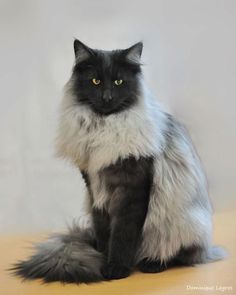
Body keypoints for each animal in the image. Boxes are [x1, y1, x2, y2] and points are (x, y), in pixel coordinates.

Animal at [12, 40, 227, 284]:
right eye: (95, 81)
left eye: (118, 81)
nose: (107, 97)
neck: (102, 130)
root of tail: (207, 249)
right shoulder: (95, 191)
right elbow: (105, 233)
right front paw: (103, 260)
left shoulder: (132, 190)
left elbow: (122, 235)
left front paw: (117, 268)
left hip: (180, 223)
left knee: (177, 254)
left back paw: (152, 263)